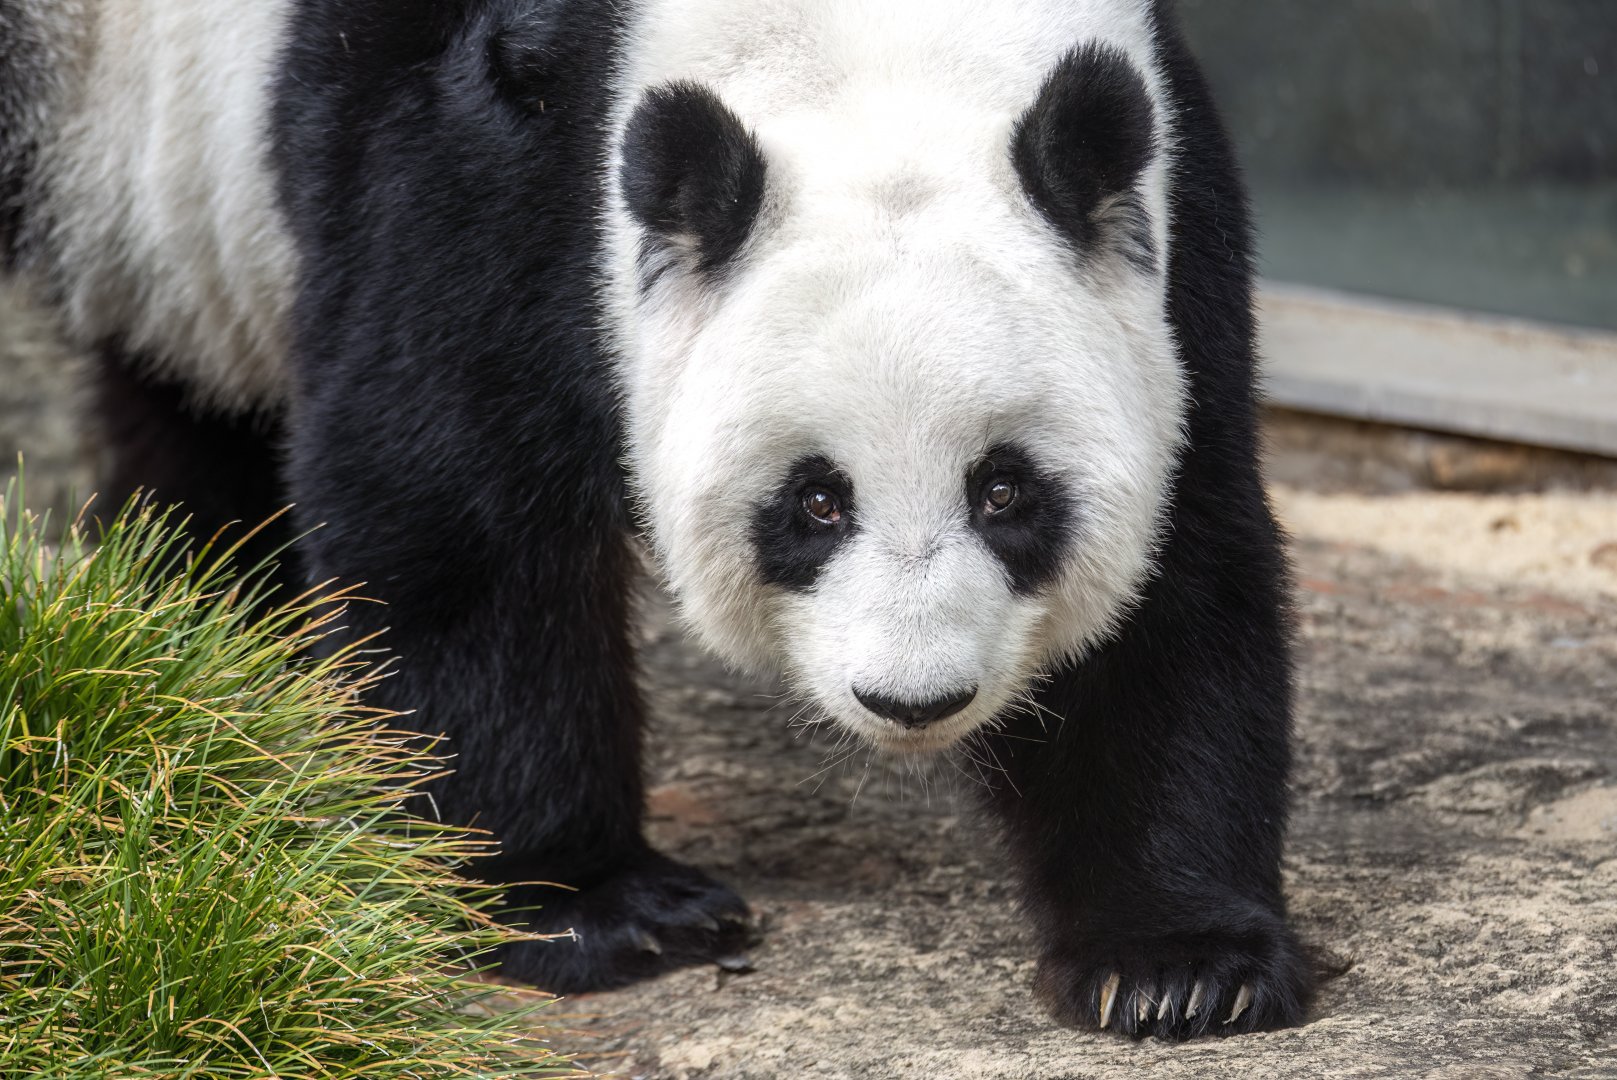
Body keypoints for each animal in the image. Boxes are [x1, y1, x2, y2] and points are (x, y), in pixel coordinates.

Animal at [2, 0, 1315, 1038]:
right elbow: (455, 510)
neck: (881, 52)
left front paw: (1177, 963)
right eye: (816, 501)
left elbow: (1182, 567)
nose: (913, 700)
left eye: (1005, 492)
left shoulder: (1169, 221)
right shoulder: (492, 155)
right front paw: (596, 908)